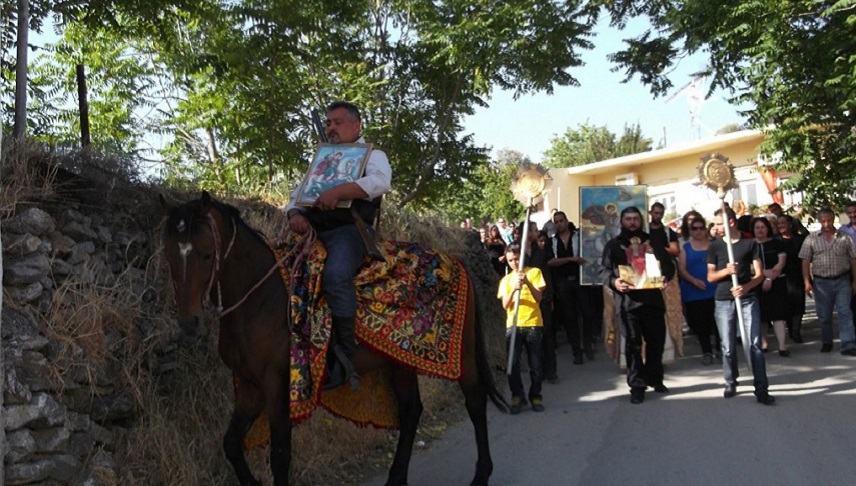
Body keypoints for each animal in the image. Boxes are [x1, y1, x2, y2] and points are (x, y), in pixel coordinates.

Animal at [162, 193, 508, 486]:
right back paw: (396, 479)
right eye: (168, 256)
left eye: (207, 255)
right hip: (401, 361)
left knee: (475, 402)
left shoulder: (279, 385)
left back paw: (481, 475)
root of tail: (458, 263)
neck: (262, 299)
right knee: (411, 411)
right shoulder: (249, 386)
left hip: (463, 355)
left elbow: (280, 456)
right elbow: (232, 444)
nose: (189, 322)